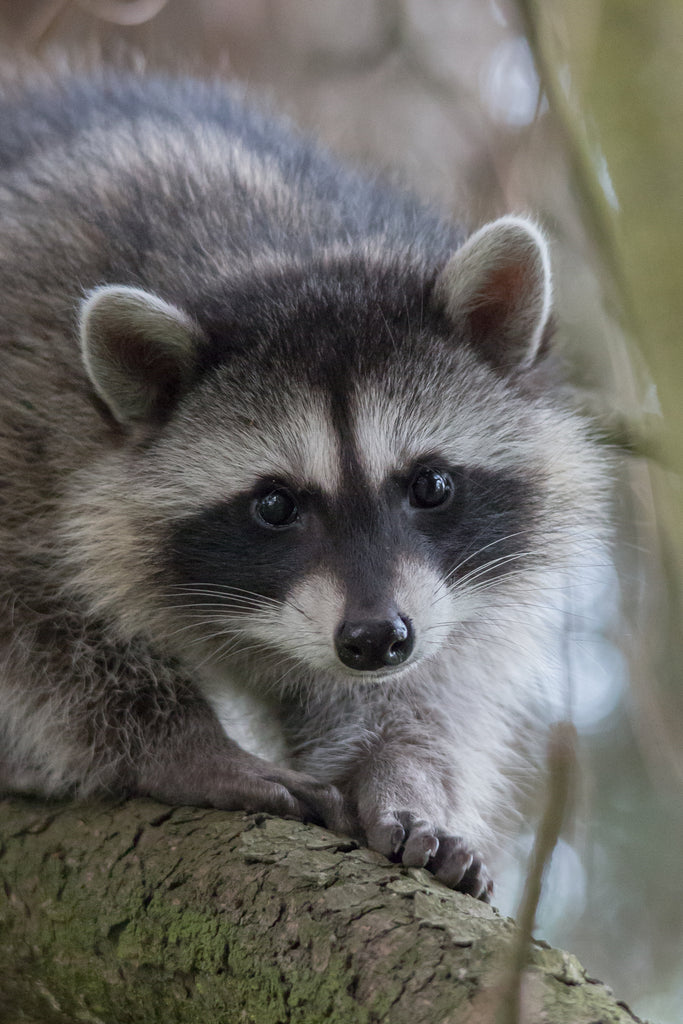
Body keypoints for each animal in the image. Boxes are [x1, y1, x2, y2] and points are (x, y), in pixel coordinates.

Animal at [0, 69, 608, 898]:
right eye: (274, 505)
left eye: (431, 486)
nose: (375, 639)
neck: (273, 254)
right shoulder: (25, 400)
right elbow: (36, 627)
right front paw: (173, 741)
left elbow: (435, 682)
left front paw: (403, 773)